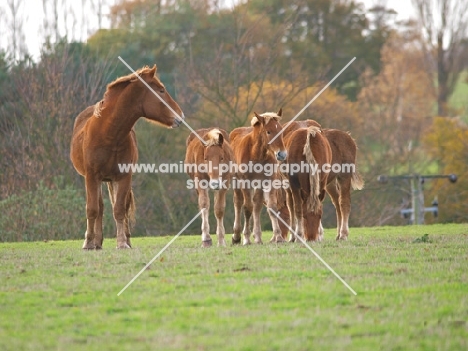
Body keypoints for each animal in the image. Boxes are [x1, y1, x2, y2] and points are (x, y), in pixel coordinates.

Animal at [70, 64, 184, 249]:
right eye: (161, 90)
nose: (181, 116)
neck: (108, 133)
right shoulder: (92, 176)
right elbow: (92, 209)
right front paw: (88, 243)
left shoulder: (123, 177)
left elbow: (119, 209)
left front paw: (122, 242)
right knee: (100, 207)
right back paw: (96, 242)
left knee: (121, 206)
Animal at [229, 109, 288, 245]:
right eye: (268, 131)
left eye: (281, 130)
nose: (282, 154)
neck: (256, 153)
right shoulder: (245, 182)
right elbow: (247, 208)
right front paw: (246, 238)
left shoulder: (268, 181)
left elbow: (271, 207)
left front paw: (278, 237)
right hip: (236, 182)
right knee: (238, 202)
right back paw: (237, 236)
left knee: (257, 204)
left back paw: (258, 237)